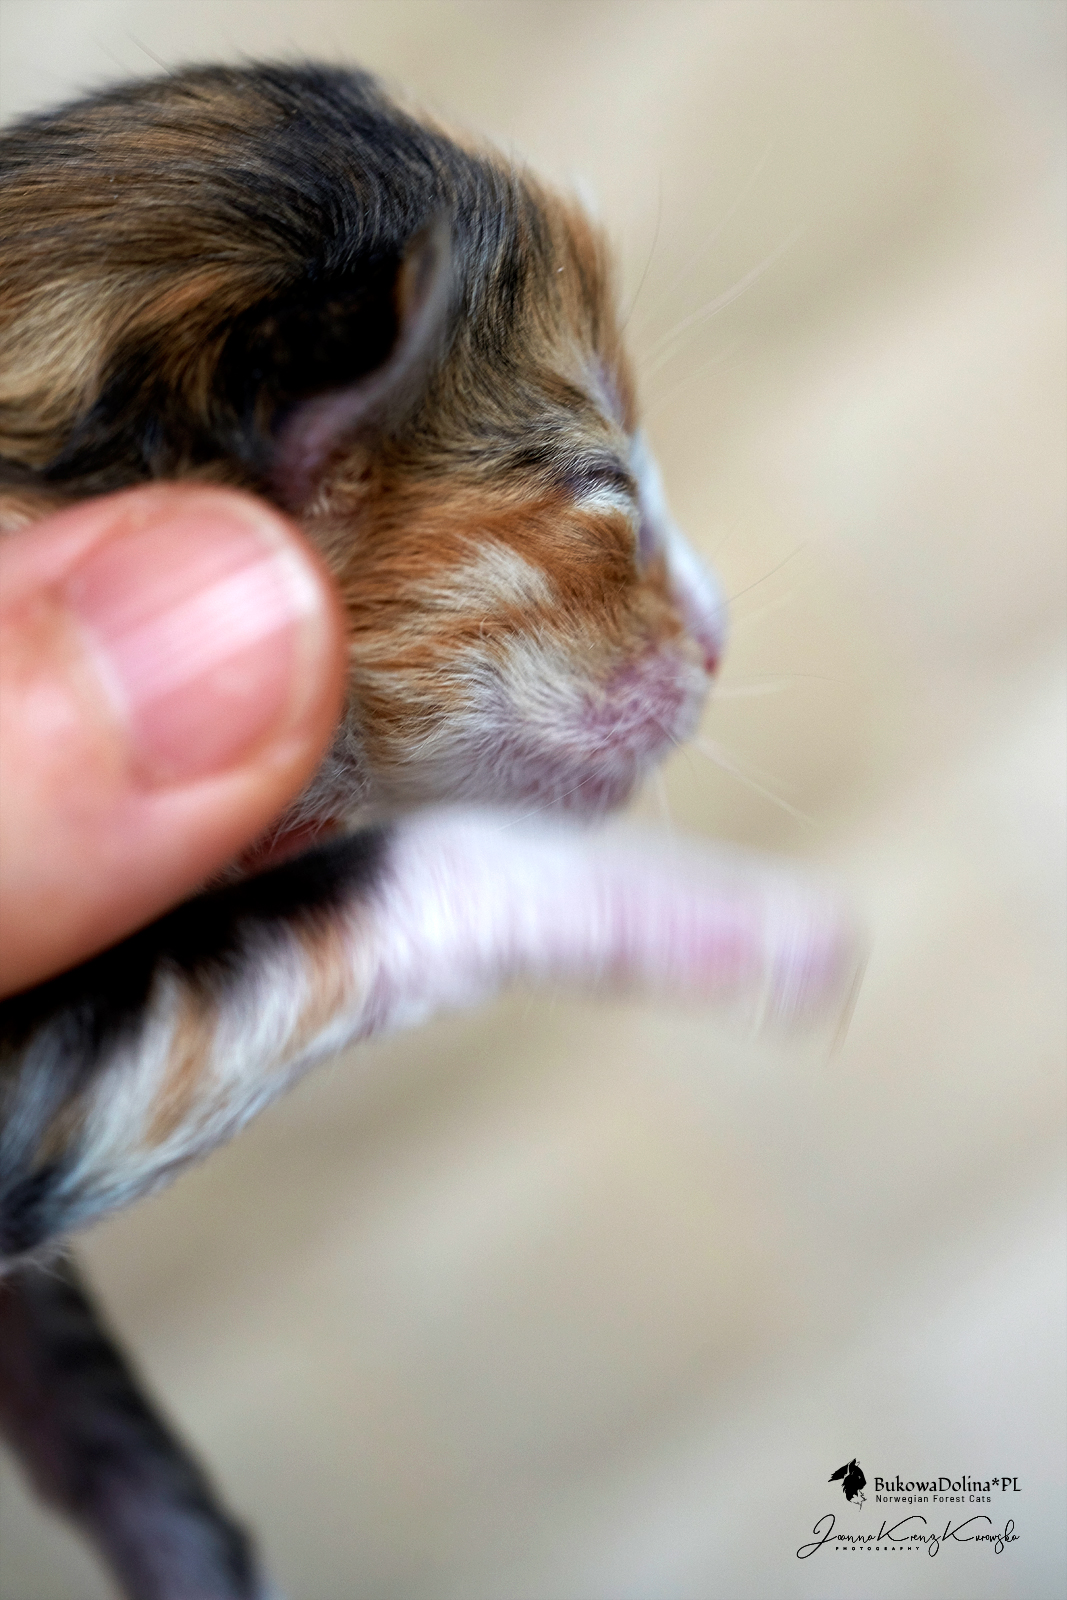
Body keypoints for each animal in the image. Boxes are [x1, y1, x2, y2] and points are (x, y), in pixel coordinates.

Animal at [0, 63, 857, 1599]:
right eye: (603, 486)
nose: (717, 635)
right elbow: (431, 863)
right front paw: (758, 929)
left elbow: (85, 1401)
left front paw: (190, 1555)